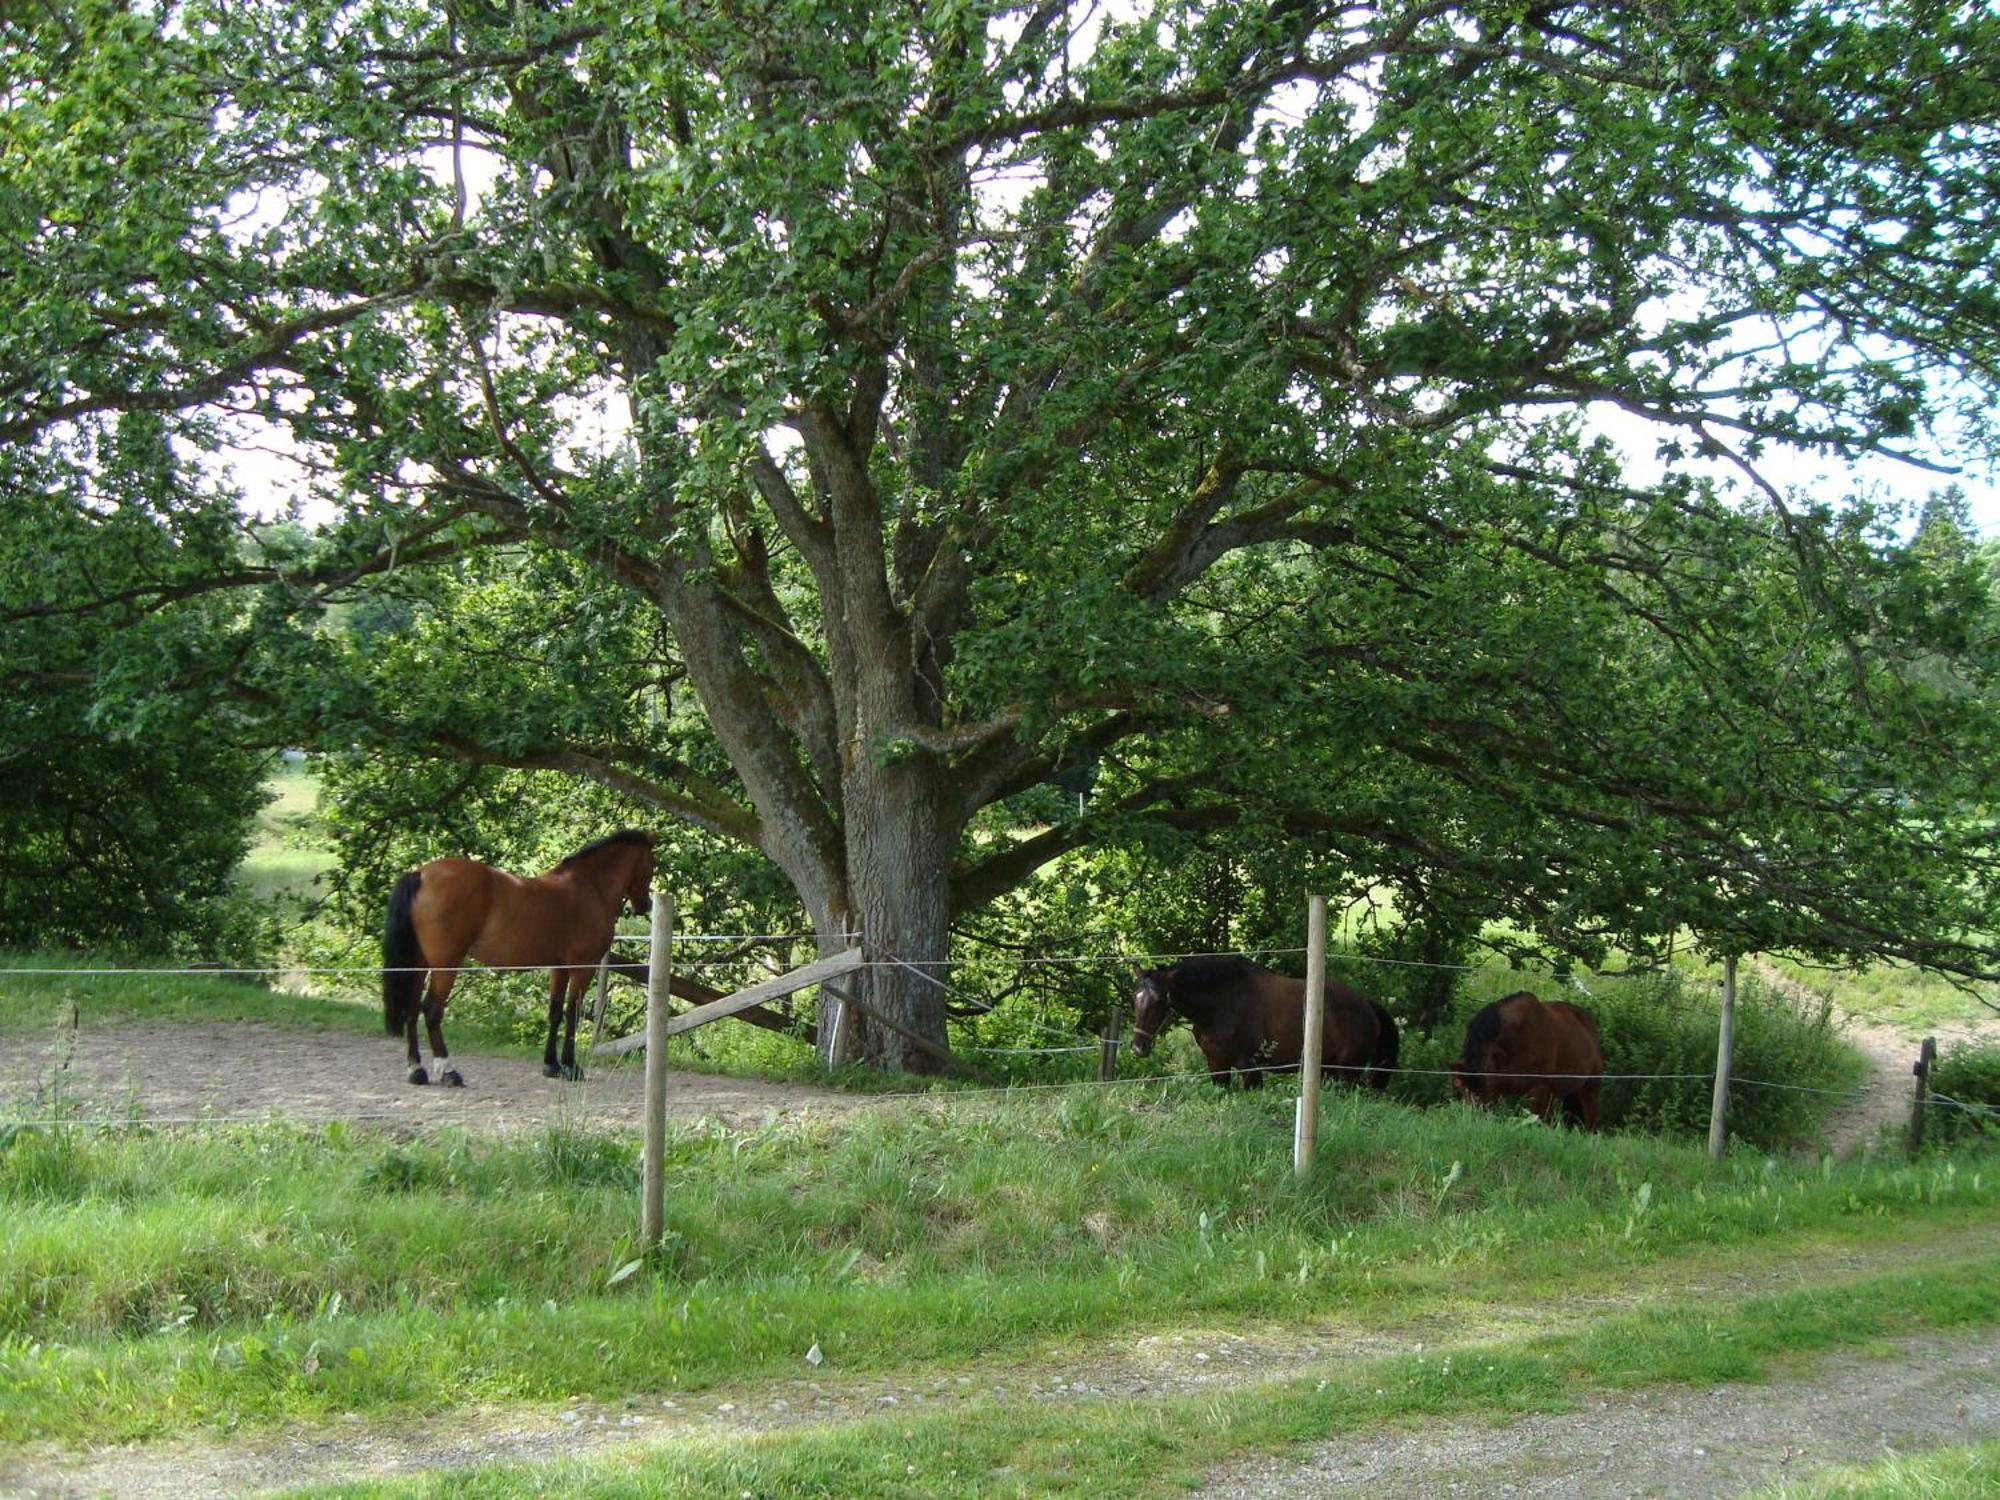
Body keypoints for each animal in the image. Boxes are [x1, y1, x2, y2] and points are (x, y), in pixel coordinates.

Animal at [376, 836, 656, 1096]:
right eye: (652, 864)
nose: (647, 904)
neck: (588, 888)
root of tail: (421, 874)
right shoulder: (583, 967)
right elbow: (572, 1013)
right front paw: (571, 1067)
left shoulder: (559, 967)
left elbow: (555, 1012)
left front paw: (551, 1066)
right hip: (446, 964)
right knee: (431, 1010)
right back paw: (448, 1071)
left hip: (419, 964)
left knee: (412, 1009)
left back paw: (416, 1069)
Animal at [1136, 964, 1400, 1096]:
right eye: (1134, 997)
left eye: (1159, 1000)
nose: (1138, 1048)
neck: (1221, 1002)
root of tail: (1367, 1004)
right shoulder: (1216, 1064)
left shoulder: (1248, 1065)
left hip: (1346, 1073)